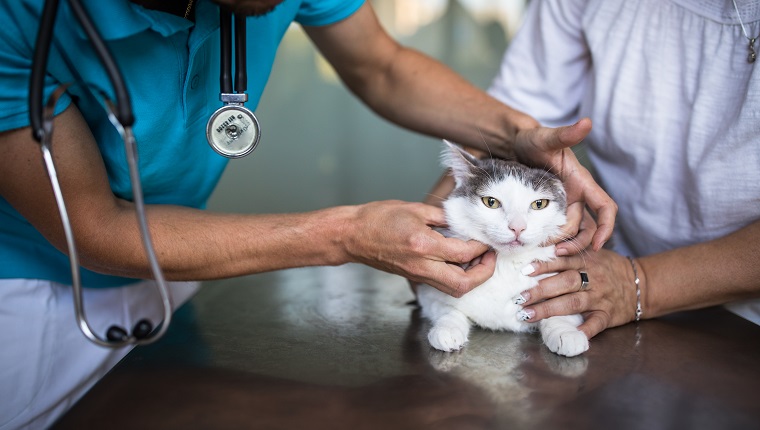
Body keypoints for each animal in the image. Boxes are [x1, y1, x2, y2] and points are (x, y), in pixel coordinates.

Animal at [416, 141, 588, 356]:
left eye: (539, 204)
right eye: (491, 202)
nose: (517, 227)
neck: (506, 265)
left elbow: (560, 311)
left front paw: (565, 332)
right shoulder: (428, 294)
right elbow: (447, 308)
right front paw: (448, 329)